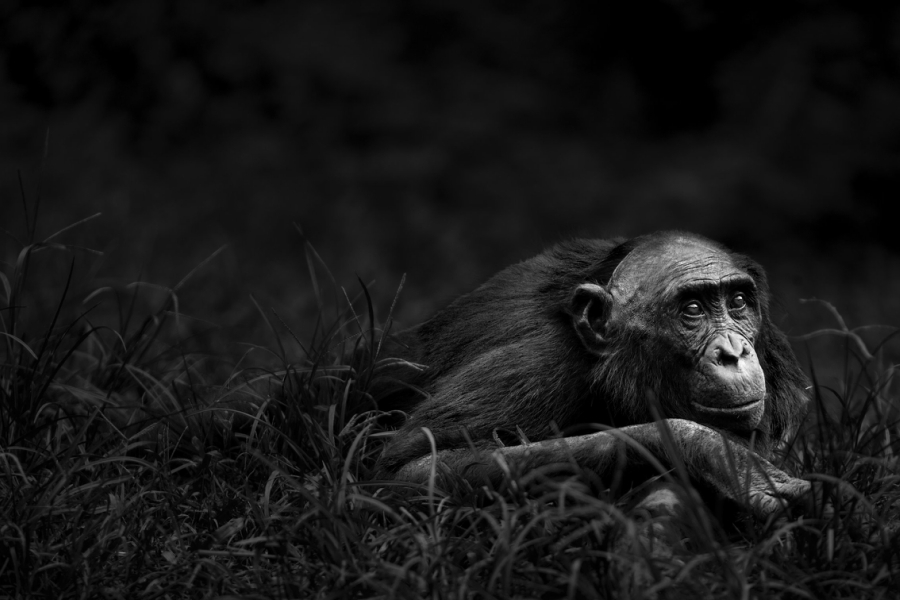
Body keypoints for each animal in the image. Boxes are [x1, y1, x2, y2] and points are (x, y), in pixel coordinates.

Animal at [376, 231, 812, 520]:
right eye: (692, 310)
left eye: (737, 302)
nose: (733, 352)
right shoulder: (535, 366)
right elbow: (415, 467)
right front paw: (720, 456)